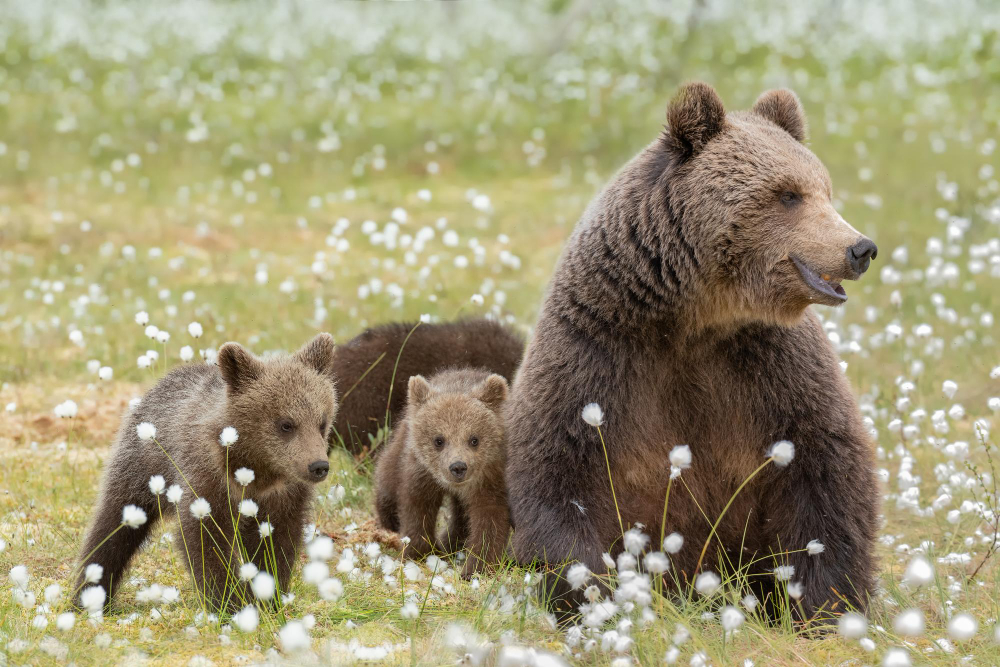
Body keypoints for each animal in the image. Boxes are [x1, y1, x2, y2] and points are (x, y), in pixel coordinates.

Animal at [504, 82, 880, 620]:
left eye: (824, 190)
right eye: (788, 194)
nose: (860, 248)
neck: (694, 317)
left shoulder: (770, 363)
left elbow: (824, 464)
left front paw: (824, 601)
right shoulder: (597, 349)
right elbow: (559, 467)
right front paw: (588, 591)